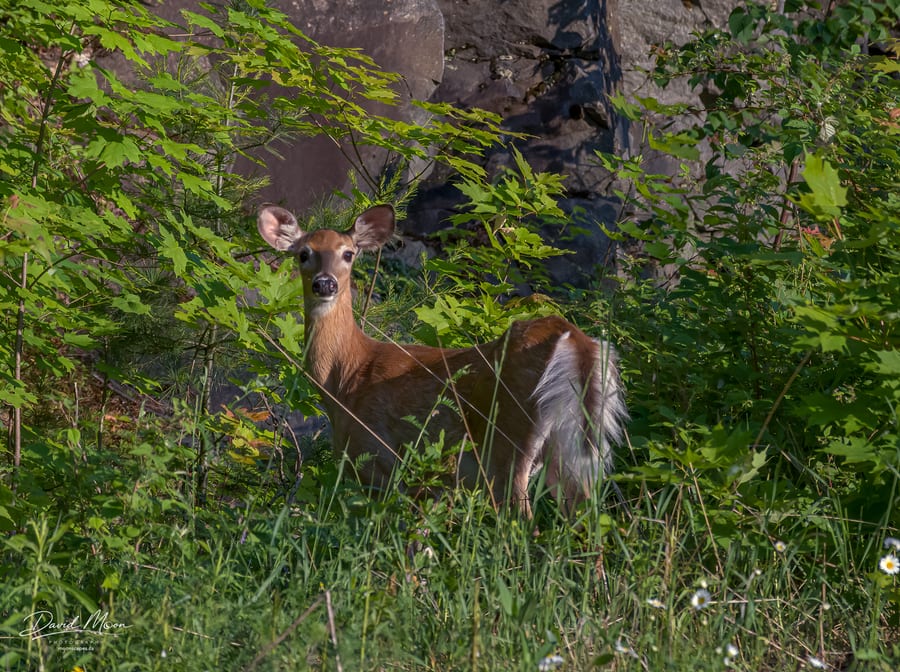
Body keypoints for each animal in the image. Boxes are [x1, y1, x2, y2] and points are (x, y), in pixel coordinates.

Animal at [257, 203, 627, 517]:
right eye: (304, 254)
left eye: (348, 253)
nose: (325, 284)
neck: (346, 377)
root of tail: (571, 335)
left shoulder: (374, 456)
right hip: (571, 447)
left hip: (508, 438)